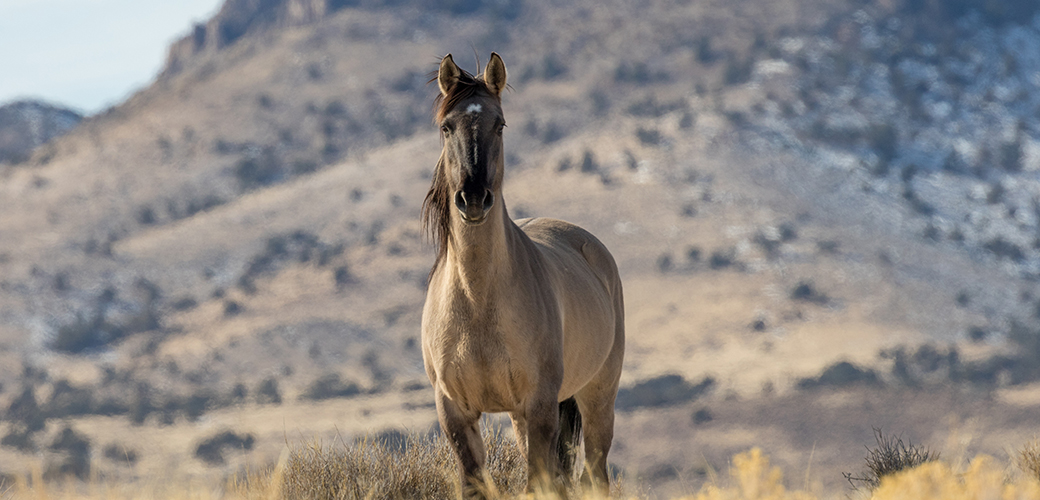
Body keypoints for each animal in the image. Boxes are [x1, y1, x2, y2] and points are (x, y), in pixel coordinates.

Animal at [420, 52, 624, 496]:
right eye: (446, 127)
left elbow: (537, 484)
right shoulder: (455, 412)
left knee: (593, 474)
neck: (478, 301)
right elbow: (475, 485)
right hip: (520, 417)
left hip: (597, 396)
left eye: (500, 124)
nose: (473, 198)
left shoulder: (540, 404)